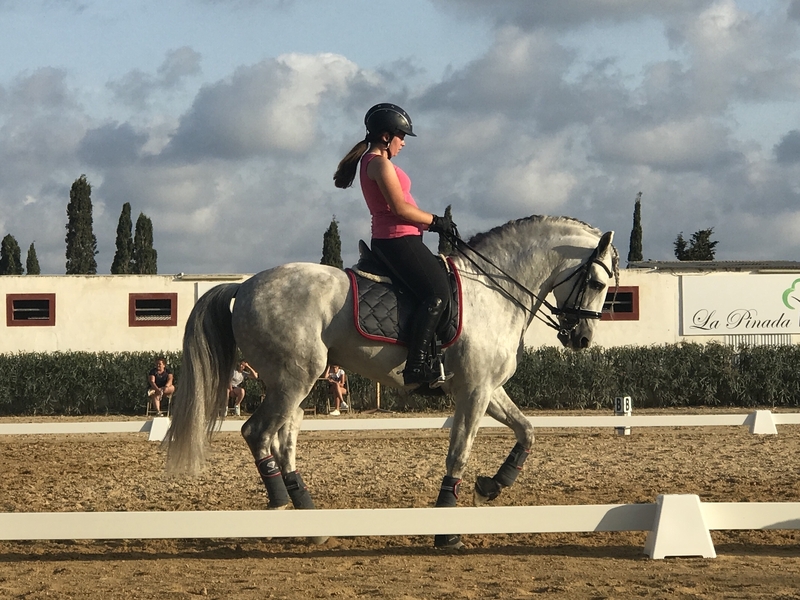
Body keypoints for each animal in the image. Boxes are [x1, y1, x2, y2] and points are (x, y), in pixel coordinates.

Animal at [163, 214, 618, 548]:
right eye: (598, 283)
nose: (581, 339)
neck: (495, 292)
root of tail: (244, 285)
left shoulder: (487, 388)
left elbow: (528, 430)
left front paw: (491, 486)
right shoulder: (473, 391)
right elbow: (458, 454)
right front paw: (446, 529)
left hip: (293, 384)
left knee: (283, 442)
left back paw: (310, 520)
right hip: (294, 380)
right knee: (256, 433)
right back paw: (279, 505)